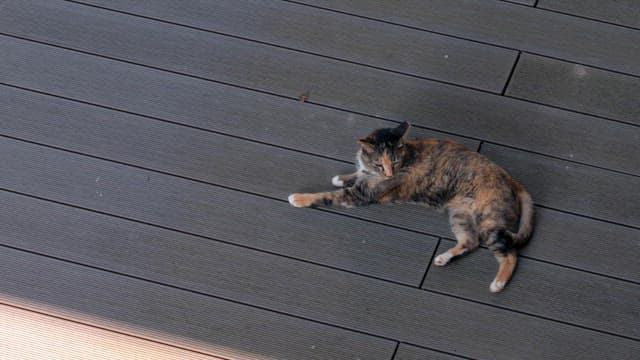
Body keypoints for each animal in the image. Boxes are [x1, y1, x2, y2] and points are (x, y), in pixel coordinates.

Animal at [288, 121, 532, 292]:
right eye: (380, 163)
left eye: (394, 161)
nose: (389, 174)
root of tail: (508, 177)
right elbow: (354, 175)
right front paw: (341, 177)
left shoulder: (359, 196)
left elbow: (327, 196)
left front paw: (298, 198)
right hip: (460, 215)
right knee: (470, 241)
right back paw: (443, 258)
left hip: (490, 222)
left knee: (510, 254)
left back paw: (498, 283)